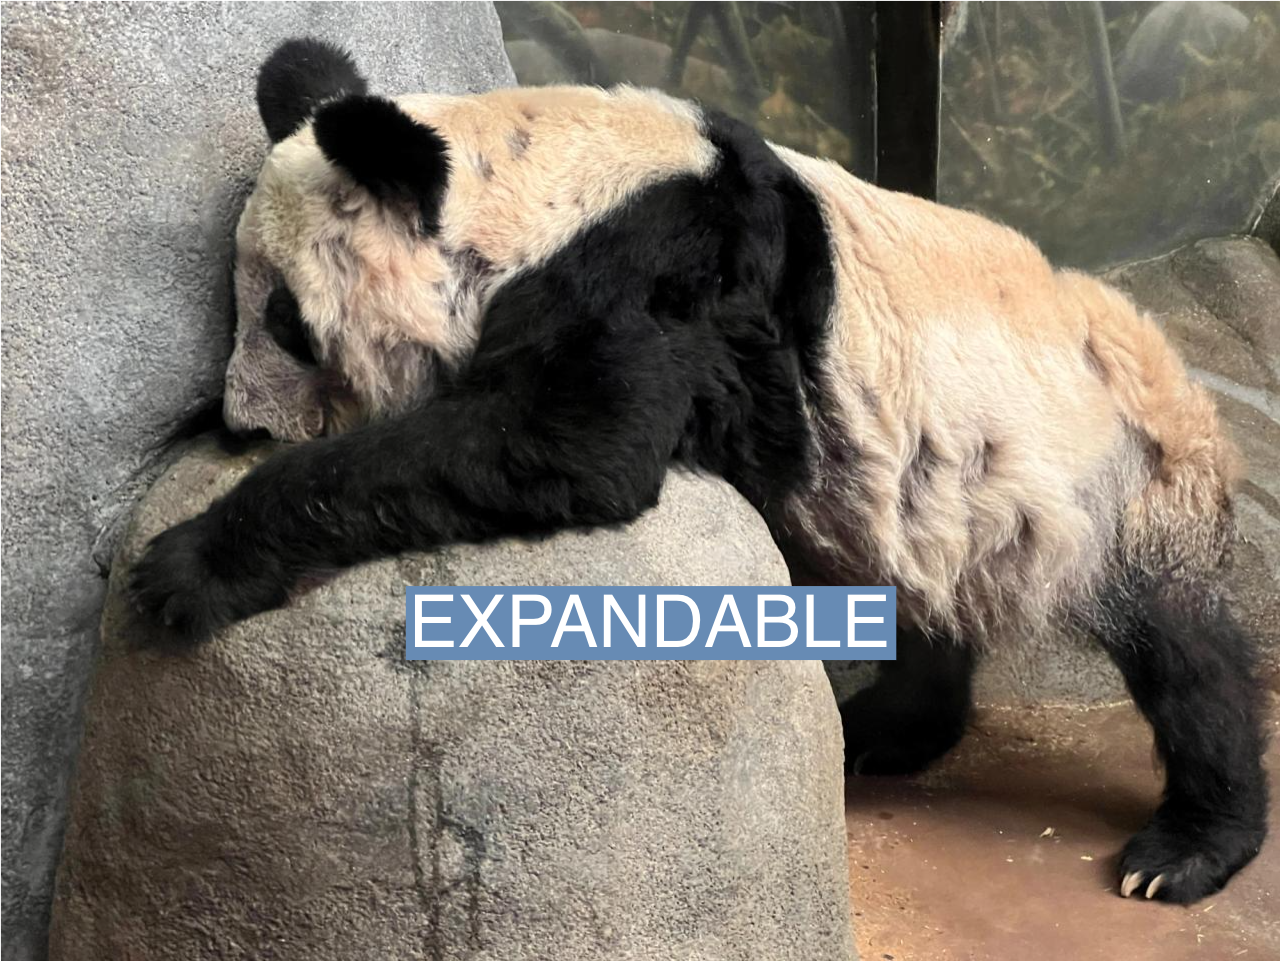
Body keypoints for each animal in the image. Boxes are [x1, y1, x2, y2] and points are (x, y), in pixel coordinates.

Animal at [132, 38, 1268, 904]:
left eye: (284, 316)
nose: (242, 419)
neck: (535, 178)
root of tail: (1177, 377)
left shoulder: (661, 272)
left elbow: (570, 441)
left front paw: (183, 566)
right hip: (927, 495)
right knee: (918, 596)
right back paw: (886, 730)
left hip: (1116, 479)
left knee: (1188, 658)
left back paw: (1186, 849)